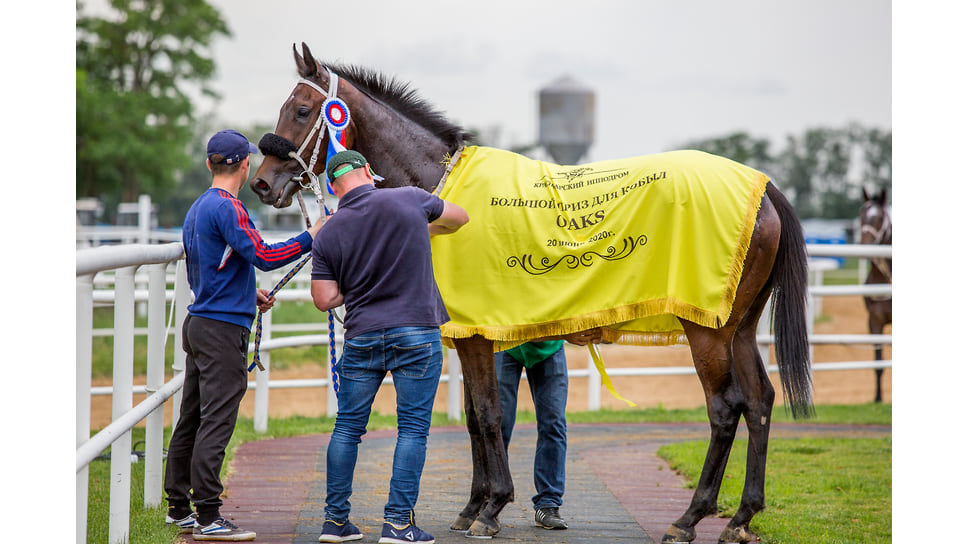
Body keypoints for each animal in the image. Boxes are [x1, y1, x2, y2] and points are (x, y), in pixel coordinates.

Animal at [250, 43, 808, 544]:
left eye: (302, 110)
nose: (261, 184)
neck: (440, 186)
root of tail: (763, 188)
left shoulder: (476, 337)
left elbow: (490, 413)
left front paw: (492, 507)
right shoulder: (469, 335)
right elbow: (475, 418)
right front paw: (472, 507)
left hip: (705, 331)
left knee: (725, 408)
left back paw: (689, 519)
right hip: (739, 327)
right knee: (759, 401)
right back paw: (741, 519)